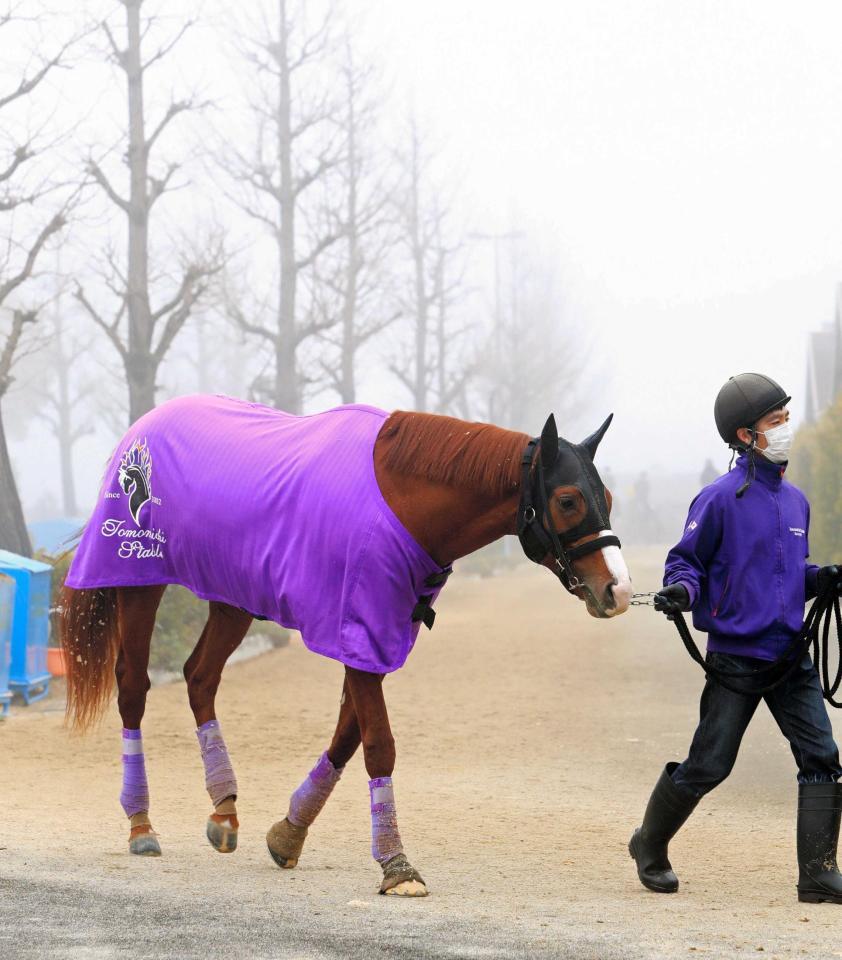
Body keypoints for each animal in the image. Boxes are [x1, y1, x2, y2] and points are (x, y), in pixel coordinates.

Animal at [60, 396, 624, 892]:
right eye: (568, 500)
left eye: (609, 499)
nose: (616, 590)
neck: (400, 500)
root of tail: (143, 427)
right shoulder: (359, 628)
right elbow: (378, 745)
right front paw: (396, 865)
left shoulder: (374, 635)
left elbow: (348, 736)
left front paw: (288, 833)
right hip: (139, 579)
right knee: (133, 686)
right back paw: (141, 824)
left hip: (233, 596)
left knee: (200, 676)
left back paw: (224, 809)